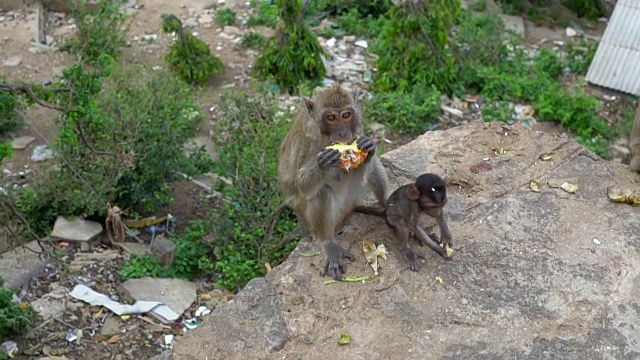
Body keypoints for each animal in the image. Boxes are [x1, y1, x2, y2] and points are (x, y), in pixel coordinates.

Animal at [276, 85, 388, 282]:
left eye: (346, 115)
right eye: (331, 118)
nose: (343, 133)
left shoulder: (357, 130)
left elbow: (365, 167)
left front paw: (368, 149)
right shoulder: (309, 142)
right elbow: (302, 185)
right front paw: (324, 164)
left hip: (352, 200)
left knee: (374, 167)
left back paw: (388, 208)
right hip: (309, 218)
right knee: (321, 192)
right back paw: (329, 244)